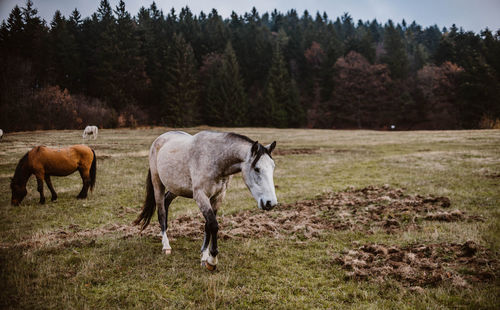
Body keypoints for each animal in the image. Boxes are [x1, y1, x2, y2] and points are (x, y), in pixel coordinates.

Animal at [134, 130, 278, 270]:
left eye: (273, 167)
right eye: (257, 169)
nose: (270, 203)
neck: (215, 159)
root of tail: (160, 138)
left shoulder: (218, 197)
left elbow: (207, 225)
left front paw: (204, 256)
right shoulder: (201, 196)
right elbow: (213, 225)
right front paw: (212, 260)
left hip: (175, 188)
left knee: (166, 202)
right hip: (158, 183)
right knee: (161, 212)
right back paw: (166, 245)